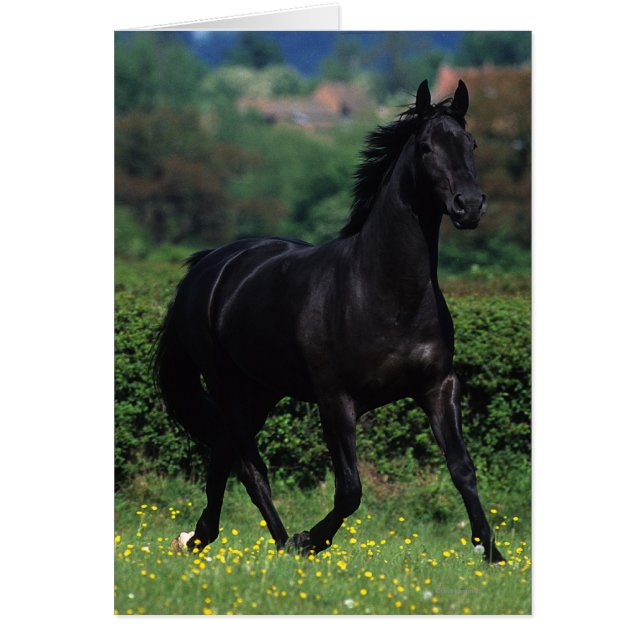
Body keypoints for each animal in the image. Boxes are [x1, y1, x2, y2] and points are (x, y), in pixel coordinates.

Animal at [154, 79, 505, 563]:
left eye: (470, 143)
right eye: (426, 147)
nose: (468, 206)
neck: (386, 294)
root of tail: (207, 266)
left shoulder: (438, 387)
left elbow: (462, 469)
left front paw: (493, 554)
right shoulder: (335, 400)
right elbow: (349, 490)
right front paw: (311, 540)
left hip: (261, 390)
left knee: (225, 455)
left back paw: (200, 538)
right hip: (227, 385)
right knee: (249, 467)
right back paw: (282, 543)